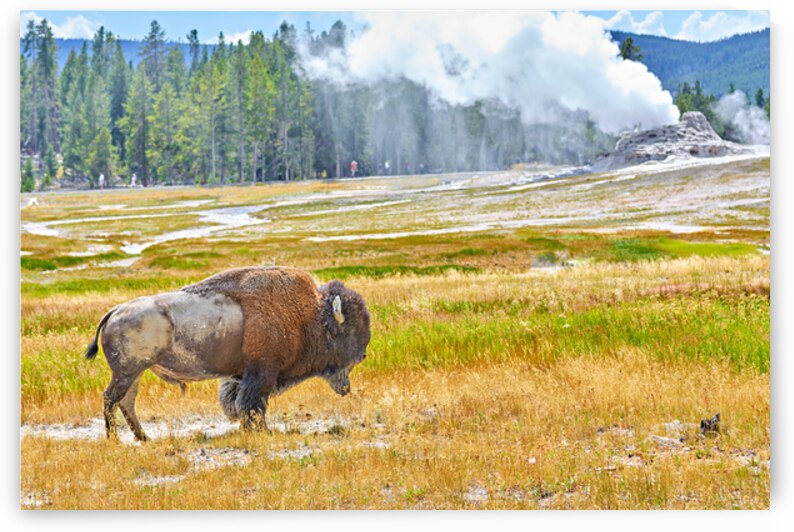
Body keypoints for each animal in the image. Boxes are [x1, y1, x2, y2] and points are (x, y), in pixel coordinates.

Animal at [85, 266, 371, 441]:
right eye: (349, 330)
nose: (363, 355)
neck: (309, 315)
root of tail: (115, 310)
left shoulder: (240, 377)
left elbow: (239, 403)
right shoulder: (262, 373)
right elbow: (252, 404)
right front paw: (262, 431)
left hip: (135, 373)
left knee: (126, 402)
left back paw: (144, 438)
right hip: (126, 372)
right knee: (111, 399)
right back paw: (115, 439)